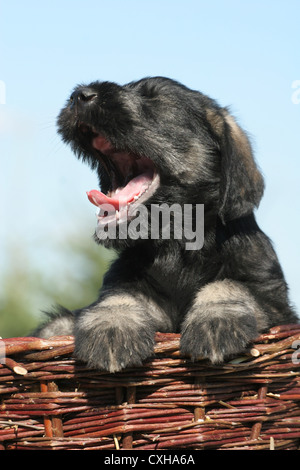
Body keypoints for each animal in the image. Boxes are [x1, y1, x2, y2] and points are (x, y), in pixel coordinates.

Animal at [34, 76, 296, 370]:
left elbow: (231, 286)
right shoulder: (127, 283)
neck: (175, 244)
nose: (79, 95)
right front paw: (112, 327)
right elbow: (117, 296)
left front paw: (215, 321)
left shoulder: (276, 305)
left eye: (153, 99)